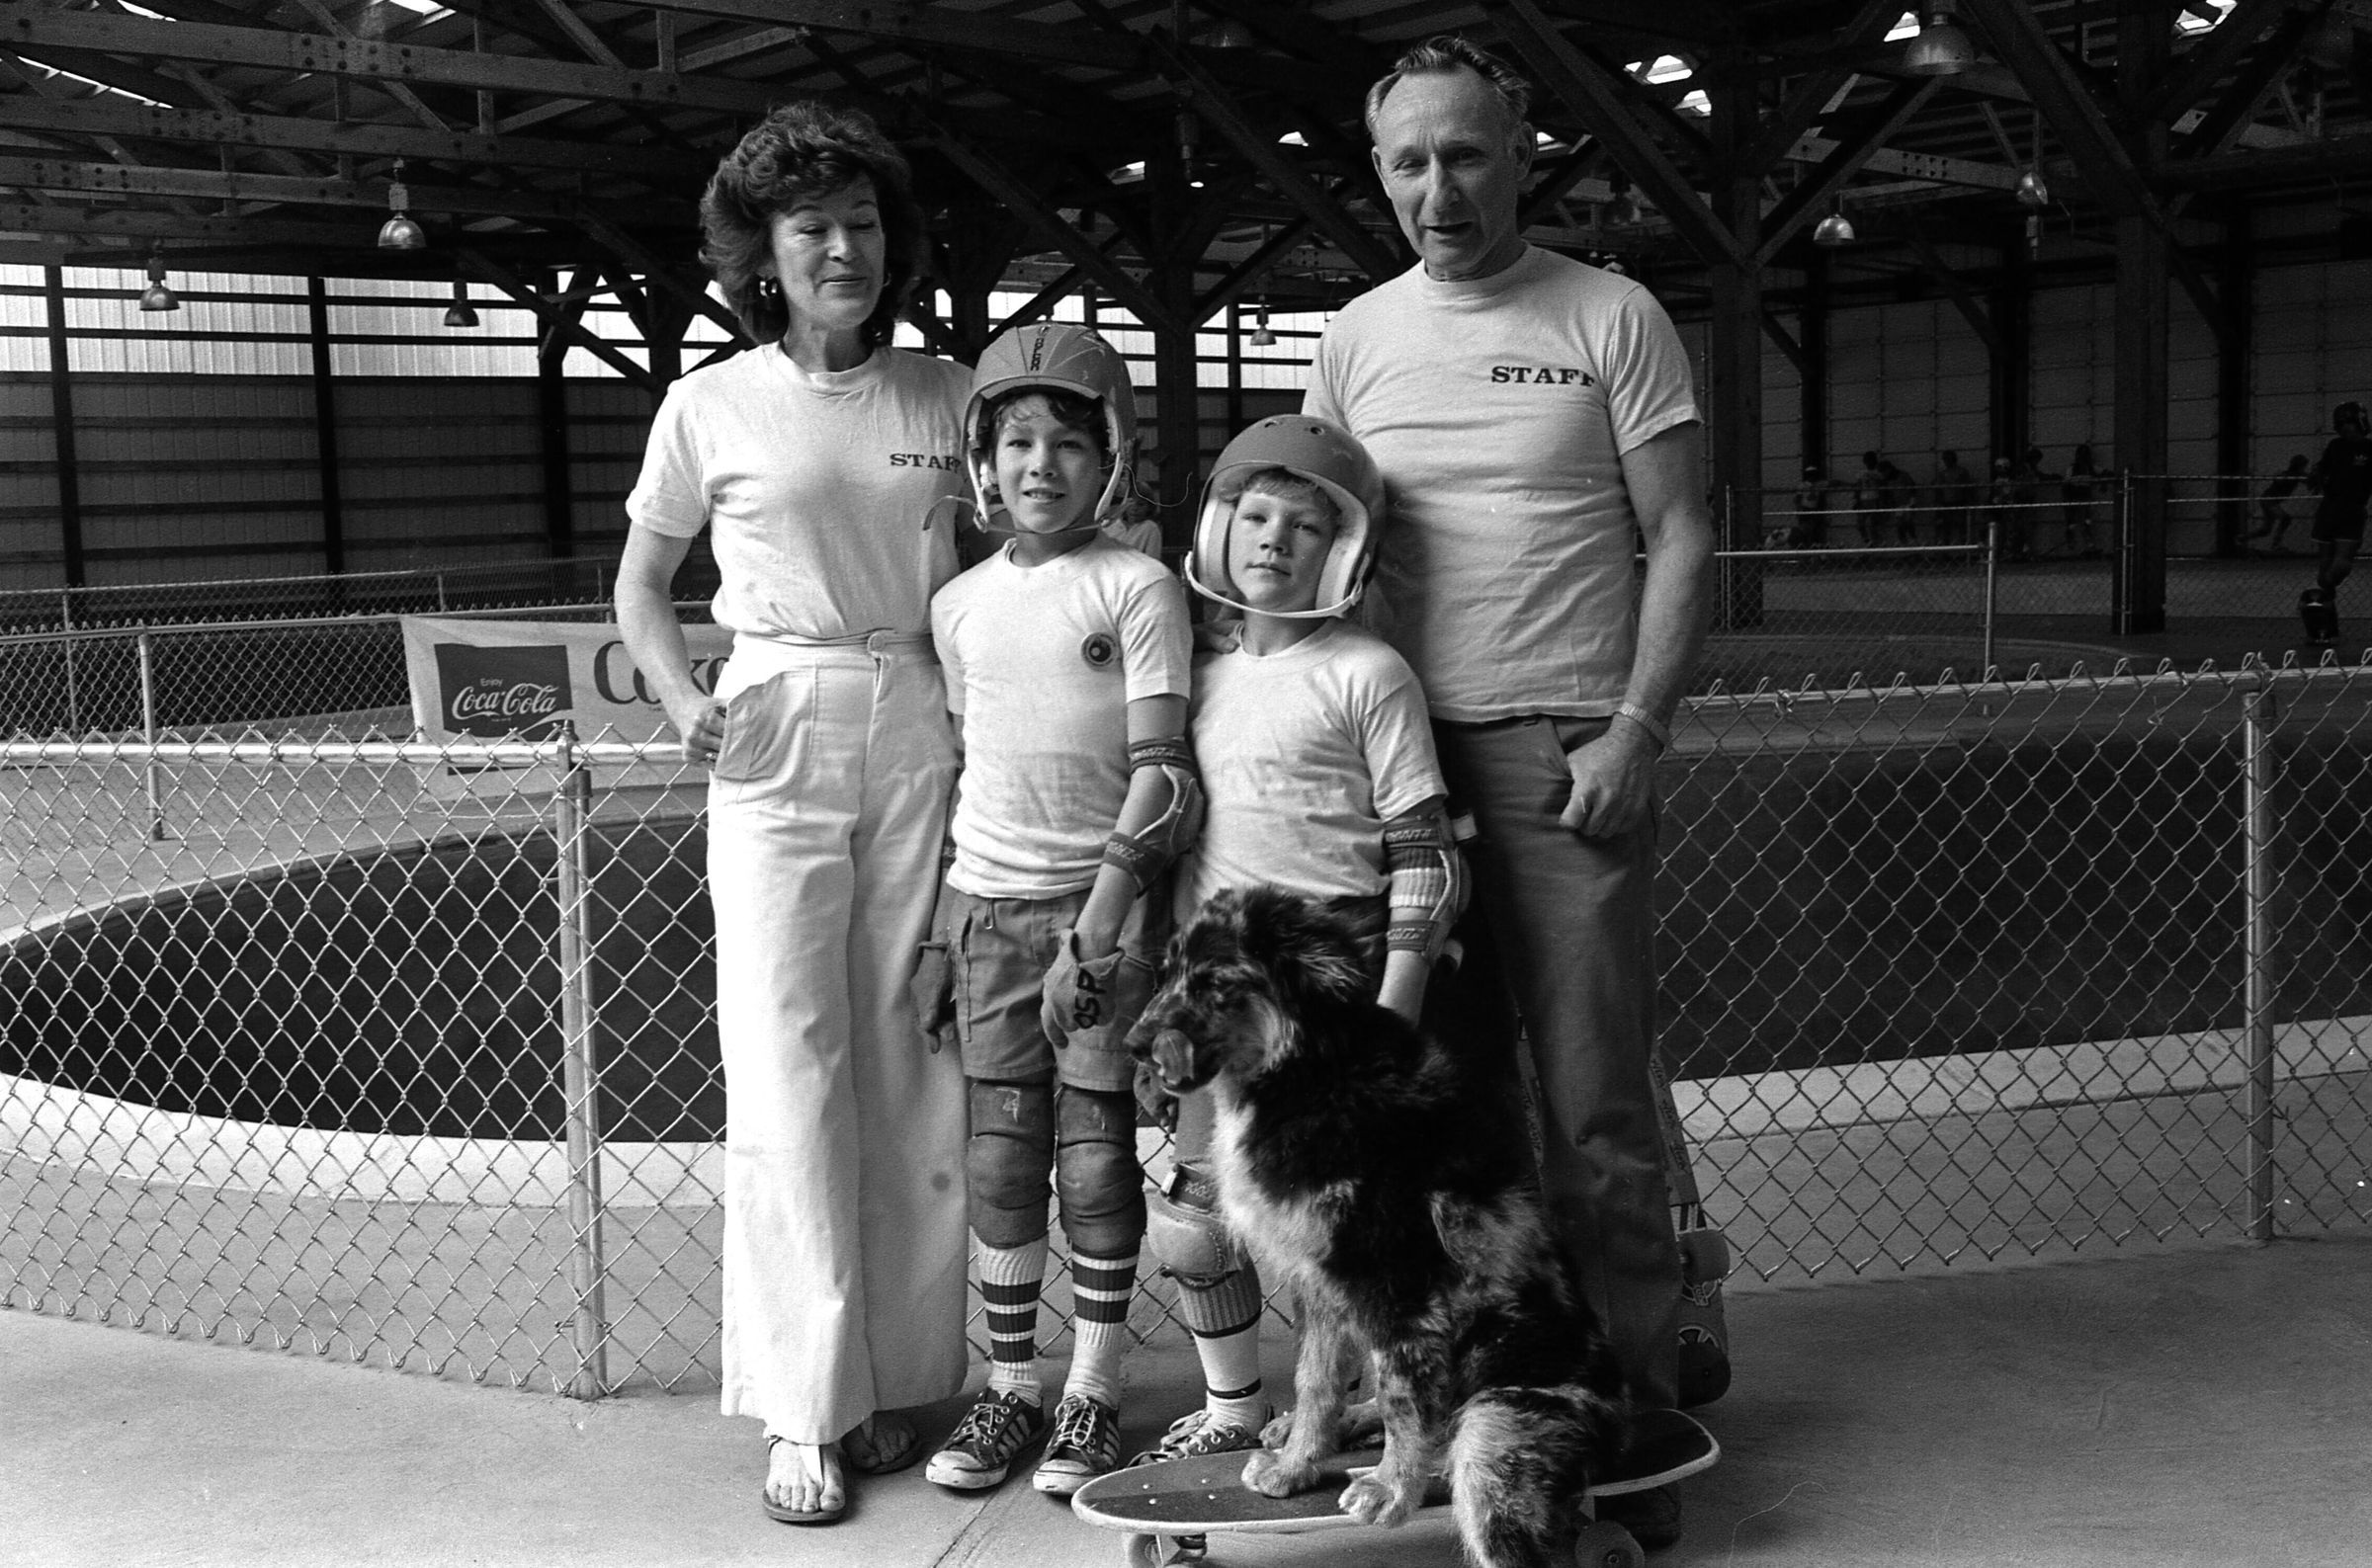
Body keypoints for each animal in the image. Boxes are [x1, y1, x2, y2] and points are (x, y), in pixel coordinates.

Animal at [1131, 885, 1631, 1568]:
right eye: (1167, 974)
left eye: (1214, 982)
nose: (1133, 1044)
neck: (1310, 1069)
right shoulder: (1319, 1280)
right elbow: (1315, 1379)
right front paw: (1296, 1467)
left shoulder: (1396, 1285)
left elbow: (1402, 1397)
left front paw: (1392, 1490)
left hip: (1493, 1437)